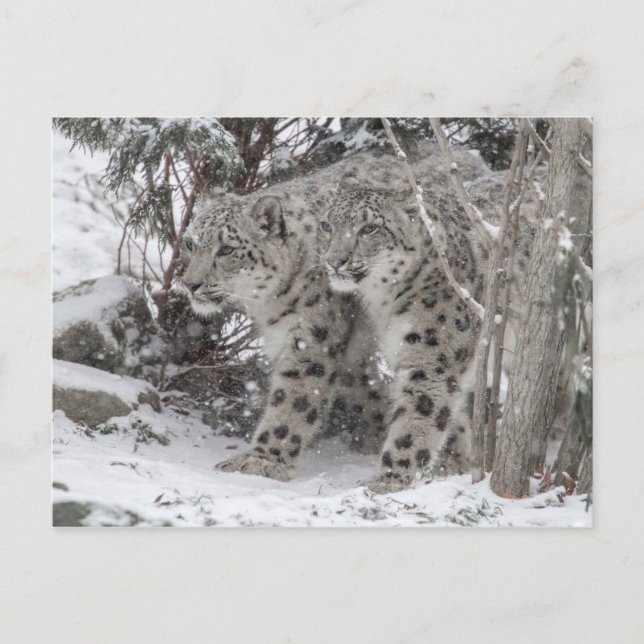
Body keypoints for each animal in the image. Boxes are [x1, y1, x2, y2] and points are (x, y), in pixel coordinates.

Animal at [180, 178, 390, 482]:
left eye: (227, 249)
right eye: (190, 243)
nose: (190, 284)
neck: (272, 304)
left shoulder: (313, 338)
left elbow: (294, 400)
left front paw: (260, 460)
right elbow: (360, 385)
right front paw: (377, 431)